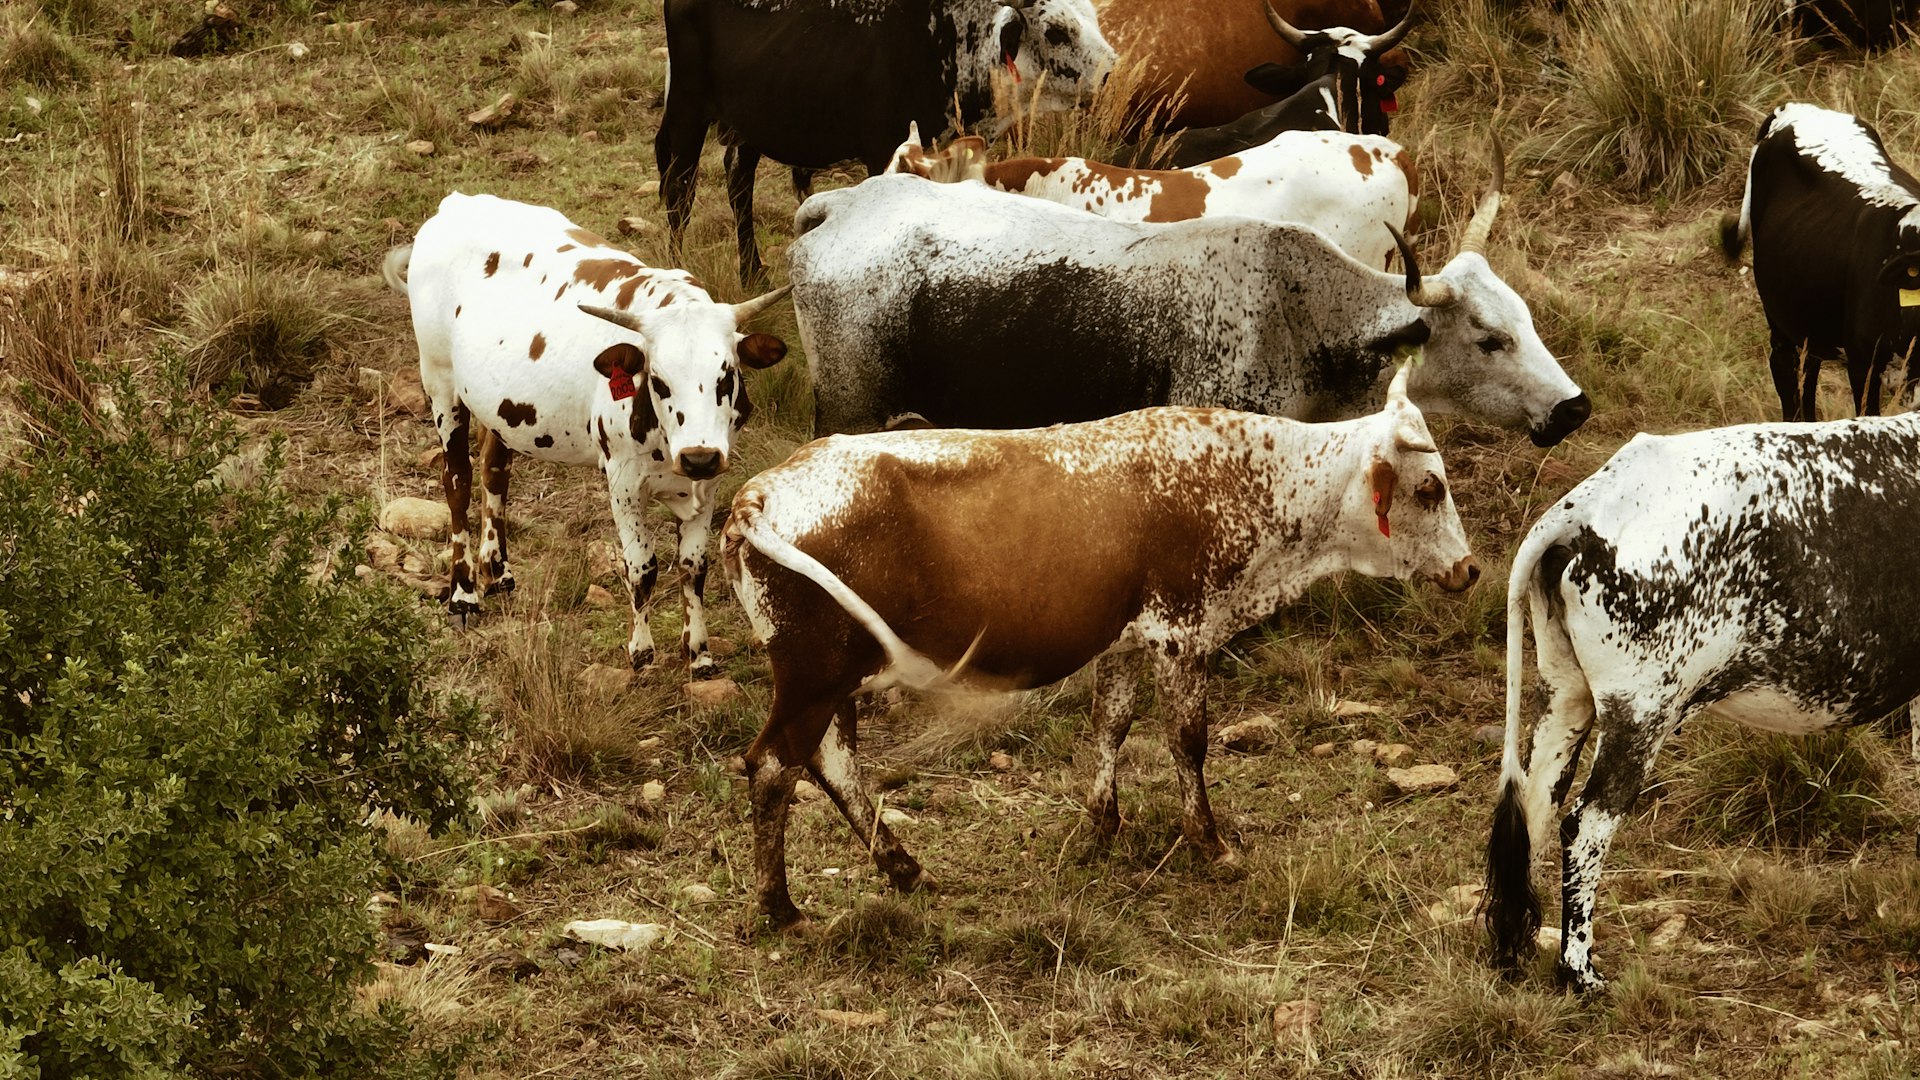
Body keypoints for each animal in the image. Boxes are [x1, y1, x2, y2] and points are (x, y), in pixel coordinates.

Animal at [382, 192, 790, 676]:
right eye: (658, 381)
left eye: (727, 376)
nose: (698, 456)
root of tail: (455, 203)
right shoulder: (624, 483)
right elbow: (643, 567)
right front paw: (641, 651)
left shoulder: (708, 483)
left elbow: (694, 567)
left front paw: (699, 653)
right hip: (441, 383)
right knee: (458, 482)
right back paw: (463, 594)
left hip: (498, 405)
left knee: (493, 471)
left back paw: (496, 569)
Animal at [656, 0, 1116, 287]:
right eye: (1057, 31)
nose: (1111, 70)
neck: (945, 40)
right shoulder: (883, 153)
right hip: (687, 108)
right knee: (679, 188)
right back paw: (679, 269)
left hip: (749, 122)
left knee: (738, 183)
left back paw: (752, 274)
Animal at [724, 367, 1479, 928]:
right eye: (1430, 487)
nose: (1470, 570)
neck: (1248, 477)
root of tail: (761, 490)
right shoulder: (1182, 631)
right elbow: (1188, 741)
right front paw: (1210, 842)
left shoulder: (1124, 641)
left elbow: (1110, 725)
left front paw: (1099, 828)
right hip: (814, 673)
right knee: (774, 767)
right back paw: (781, 908)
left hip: (827, 677)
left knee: (831, 763)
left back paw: (903, 869)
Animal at [790, 143, 1592, 446]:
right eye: (1490, 338)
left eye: (1527, 322)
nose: (1574, 408)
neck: (1297, 311)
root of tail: (842, 203)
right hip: (852, 415)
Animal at [1482, 414, 1920, 993]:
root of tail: (1588, 505)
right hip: (1641, 712)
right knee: (1584, 826)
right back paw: (1580, 972)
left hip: (1564, 695)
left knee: (1534, 812)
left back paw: (1520, 947)